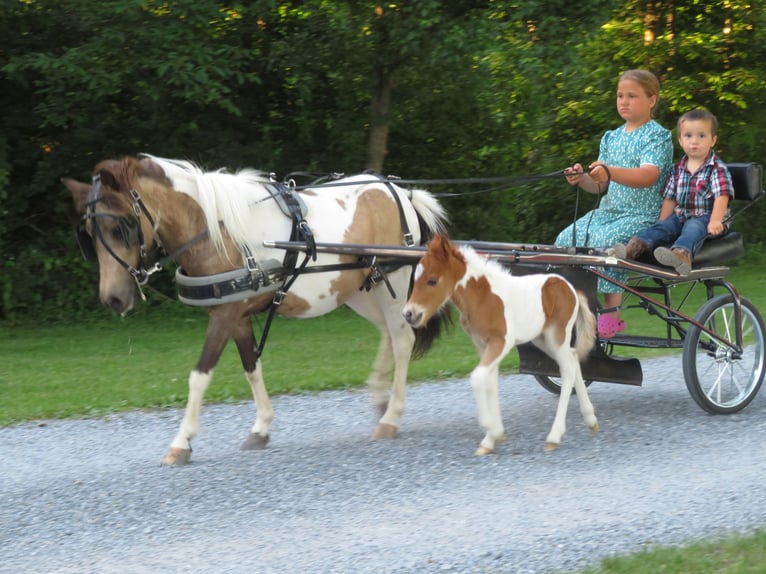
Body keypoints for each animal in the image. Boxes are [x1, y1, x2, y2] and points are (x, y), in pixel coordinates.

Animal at [64, 155, 448, 465]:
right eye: (87, 235)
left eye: (120, 227)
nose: (112, 299)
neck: (216, 232)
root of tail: (399, 192)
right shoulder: (236, 314)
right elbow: (251, 366)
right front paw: (261, 428)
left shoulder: (224, 315)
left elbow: (200, 375)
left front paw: (181, 442)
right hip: (362, 288)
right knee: (389, 332)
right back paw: (381, 398)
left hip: (392, 279)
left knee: (402, 339)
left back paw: (391, 416)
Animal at [402, 234, 599, 455]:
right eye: (415, 279)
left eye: (432, 280)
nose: (409, 314)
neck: (483, 297)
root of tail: (571, 288)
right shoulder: (482, 344)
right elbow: (490, 380)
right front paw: (491, 438)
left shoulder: (502, 340)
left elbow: (478, 378)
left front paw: (490, 429)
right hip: (543, 340)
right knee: (573, 360)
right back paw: (591, 420)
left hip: (556, 336)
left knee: (567, 369)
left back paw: (554, 437)